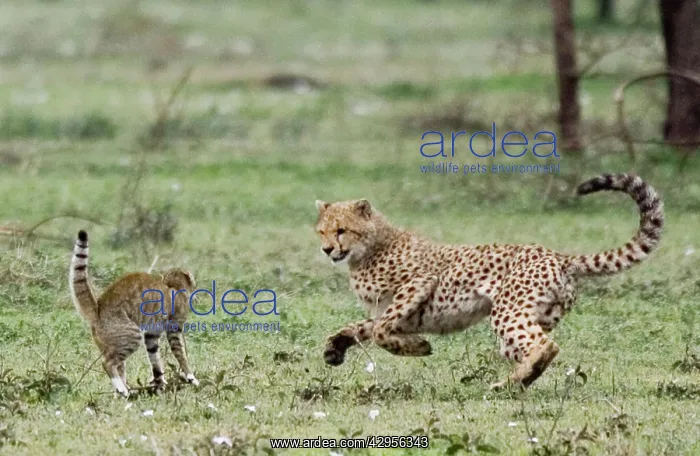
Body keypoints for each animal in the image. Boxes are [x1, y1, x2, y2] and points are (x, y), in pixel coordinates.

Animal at [313, 173, 664, 389]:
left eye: (342, 230)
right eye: (322, 231)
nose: (327, 249)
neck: (369, 248)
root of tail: (558, 255)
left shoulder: (420, 283)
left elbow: (382, 331)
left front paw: (420, 346)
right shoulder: (382, 309)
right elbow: (358, 328)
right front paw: (334, 349)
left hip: (508, 312)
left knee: (545, 346)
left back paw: (509, 384)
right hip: (532, 321)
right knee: (533, 347)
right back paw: (519, 381)